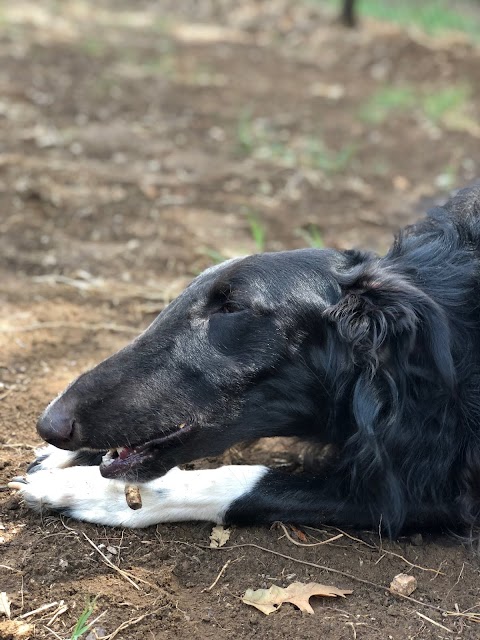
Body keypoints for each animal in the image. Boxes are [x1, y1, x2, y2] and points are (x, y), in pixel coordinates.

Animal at [8, 186, 480, 536]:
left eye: (232, 308)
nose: (50, 425)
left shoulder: (421, 490)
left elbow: (244, 480)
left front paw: (87, 489)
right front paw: (68, 461)